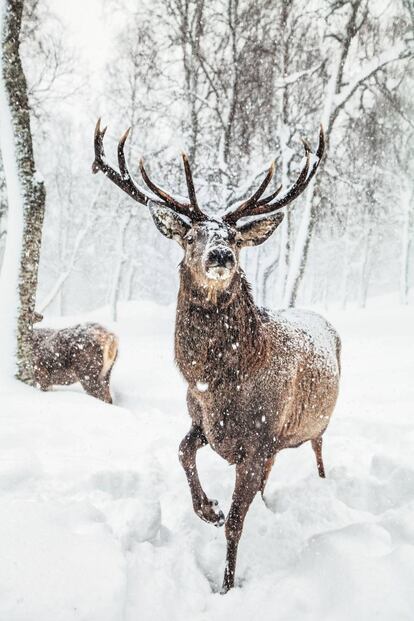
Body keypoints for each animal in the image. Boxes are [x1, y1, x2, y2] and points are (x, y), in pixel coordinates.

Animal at [92, 120, 342, 592]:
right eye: (191, 236)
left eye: (236, 239)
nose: (221, 255)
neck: (216, 384)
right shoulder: (202, 422)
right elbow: (182, 451)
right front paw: (208, 508)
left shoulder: (259, 441)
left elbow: (236, 524)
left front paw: (226, 585)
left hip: (316, 424)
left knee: (319, 453)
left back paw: (322, 487)